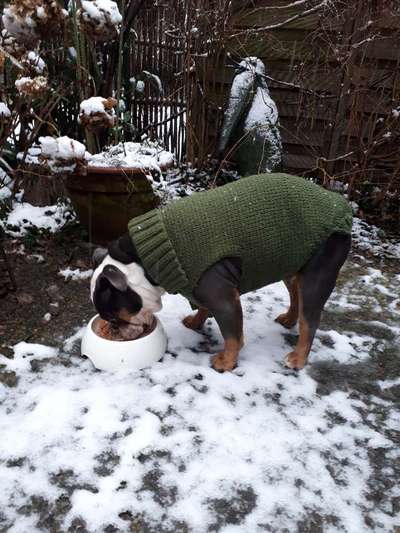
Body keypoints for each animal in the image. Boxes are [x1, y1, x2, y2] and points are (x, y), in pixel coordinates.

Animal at [90, 175, 350, 370]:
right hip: (290, 262)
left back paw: (297, 358)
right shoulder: (200, 287)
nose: (113, 329)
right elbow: (203, 306)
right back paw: (288, 319)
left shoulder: (224, 298)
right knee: (295, 294)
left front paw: (226, 362)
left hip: (316, 276)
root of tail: (339, 203)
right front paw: (196, 322)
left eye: (113, 317)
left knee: (309, 320)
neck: (142, 264)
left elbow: (233, 335)